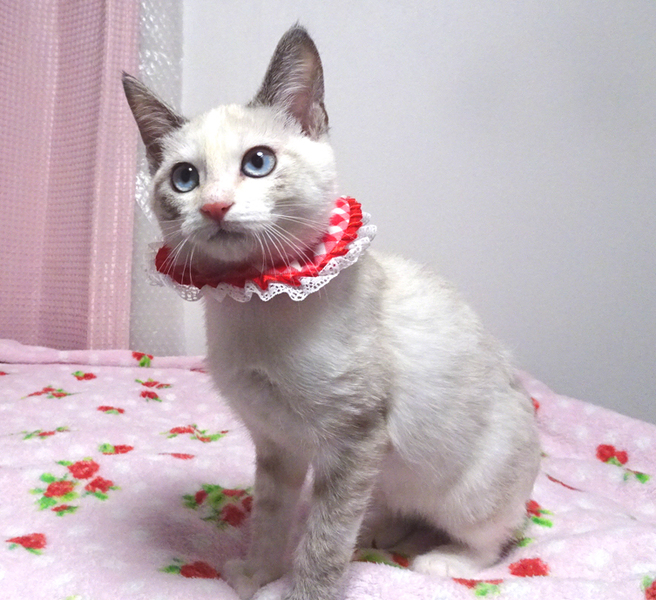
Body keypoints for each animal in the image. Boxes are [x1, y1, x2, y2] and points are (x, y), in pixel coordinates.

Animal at [123, 25, 540, 600]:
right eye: (185, 178)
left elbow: (324, 540)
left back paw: (440, 559)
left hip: (467, 491)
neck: (257, 303)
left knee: (493, 539)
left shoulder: (355, 438)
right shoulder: (275, 443)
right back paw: (381, 533)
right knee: (398, 512)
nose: (214, 206)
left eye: (258, 163)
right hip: (387, 477)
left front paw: (302, 592)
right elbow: (272, 519)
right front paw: (257, 575)